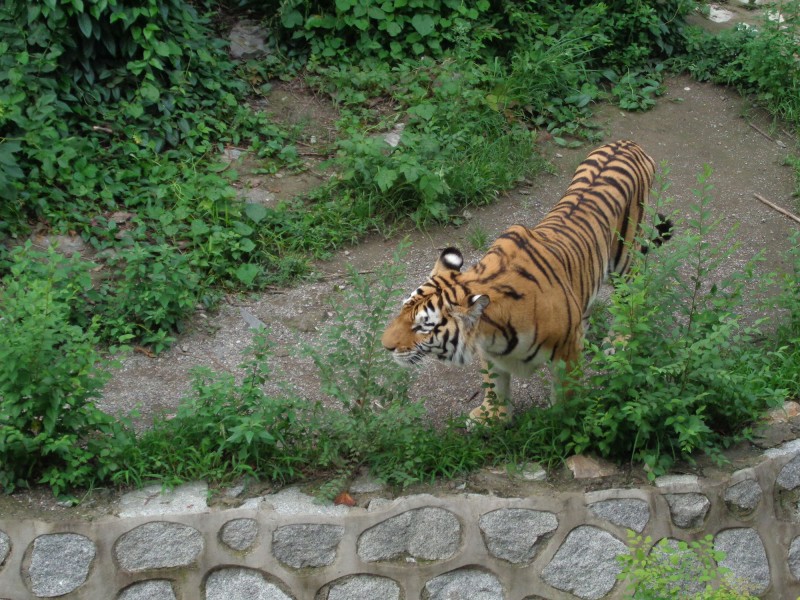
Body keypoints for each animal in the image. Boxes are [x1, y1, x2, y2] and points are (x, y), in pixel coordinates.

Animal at [384, 139, 672, 424]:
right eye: (402, 311)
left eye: (423, 327)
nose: (385, 346)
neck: (493, 333)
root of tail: (629, 143)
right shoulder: (489, 352)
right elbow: (495, 384)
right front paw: (493, 417)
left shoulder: (566, 353)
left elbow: (565, 397)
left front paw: (558, 422)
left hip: (625, 258)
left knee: (631, 293)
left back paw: (619, 340)